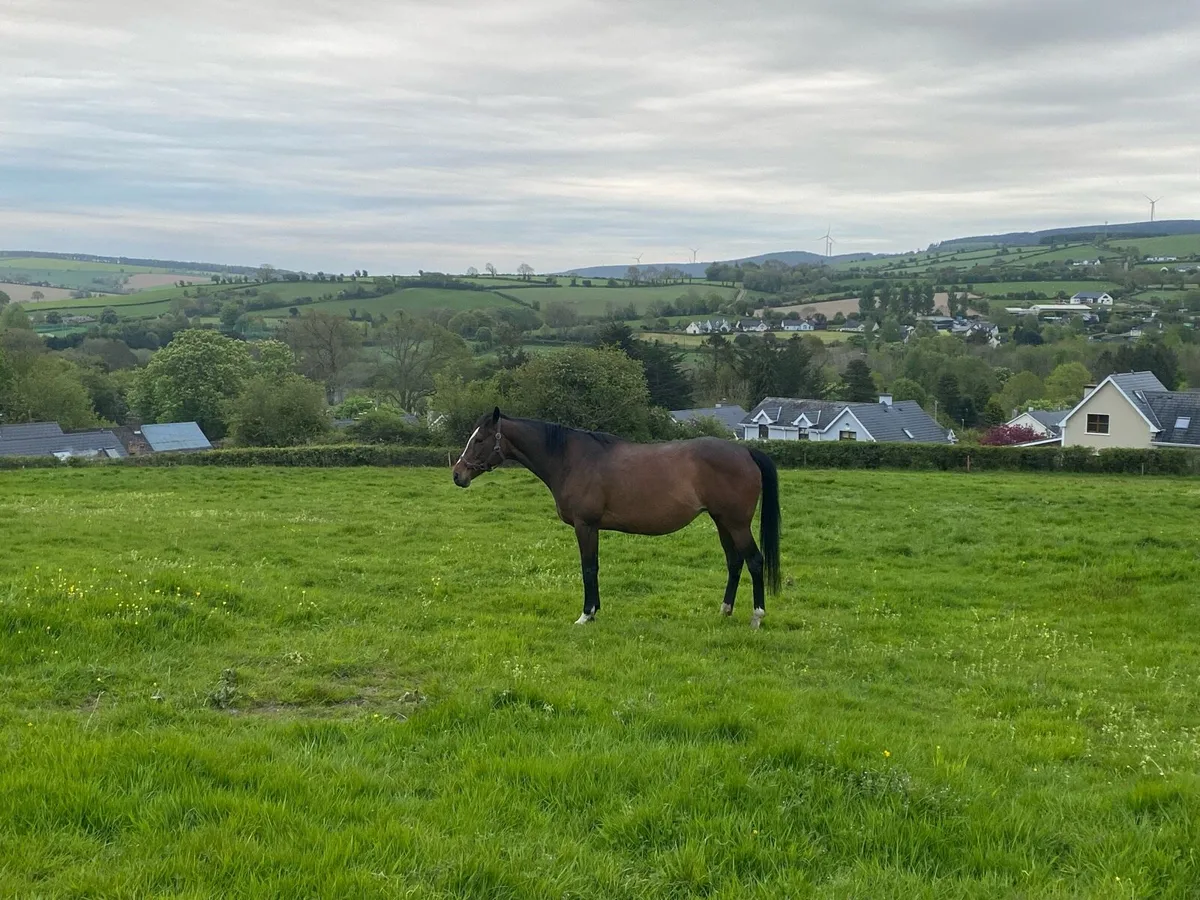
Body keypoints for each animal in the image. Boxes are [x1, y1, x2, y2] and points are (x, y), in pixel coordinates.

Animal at [452, 408, 781, 628]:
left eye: (479, 439)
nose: (458, 474)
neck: (571, 459)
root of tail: (745, 452)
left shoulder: (585, 526)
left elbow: (588, 568)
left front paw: (586, 614)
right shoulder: (592, 528)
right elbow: (594, 568)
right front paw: (595, 611)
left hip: (736, 524)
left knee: (754, 561)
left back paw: (757, 617)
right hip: (722, 521)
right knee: (734, 562)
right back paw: (724, 611)